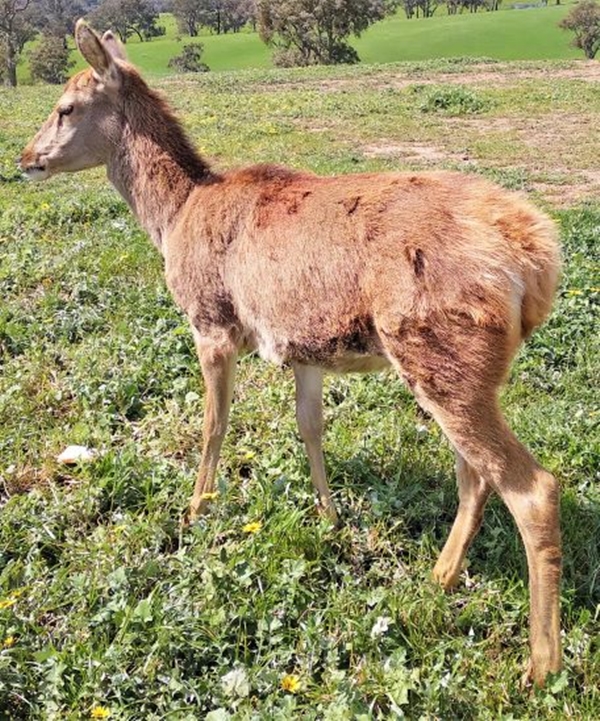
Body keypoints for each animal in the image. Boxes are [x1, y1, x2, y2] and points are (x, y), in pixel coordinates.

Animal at [20, 20, 562, 686]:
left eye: (66, 106)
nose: (25, 159)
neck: (173, 220)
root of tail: (538, 261)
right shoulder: (304, 348)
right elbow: (310, 428)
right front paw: (329, 518)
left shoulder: (210, 321)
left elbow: (214, 424)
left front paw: (195, 511)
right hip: (461, 369)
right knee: (476, 475)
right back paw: (441, 576)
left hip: (439, 352)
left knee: (532, 487)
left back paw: (541, 665)